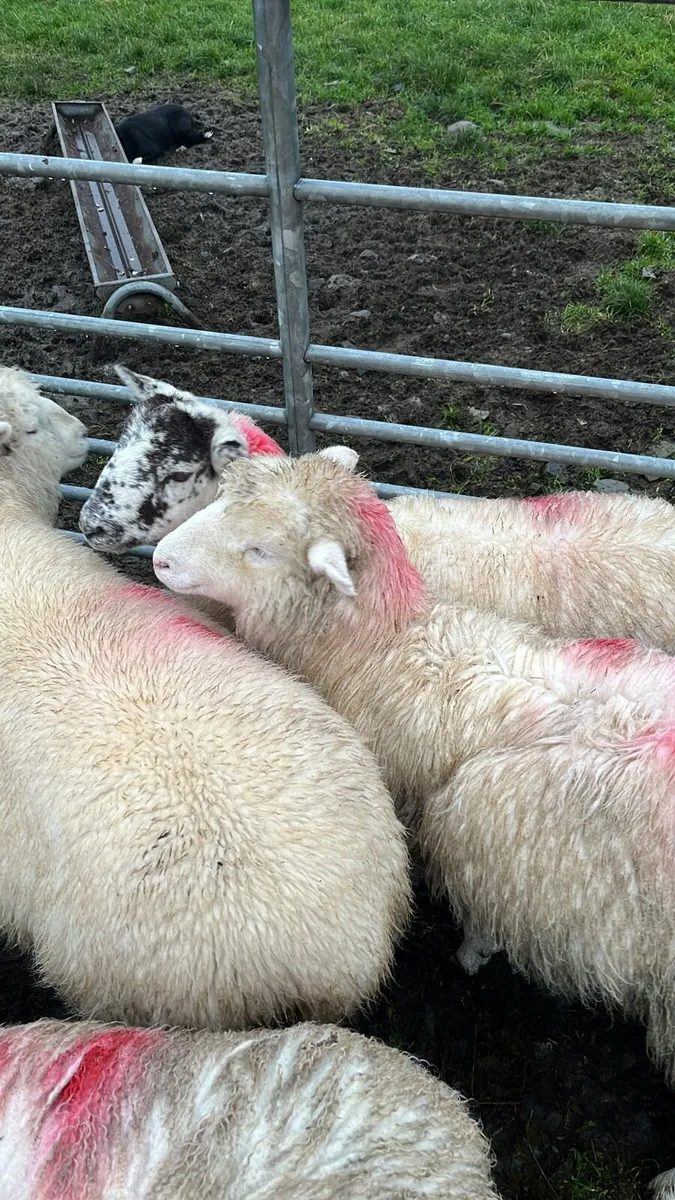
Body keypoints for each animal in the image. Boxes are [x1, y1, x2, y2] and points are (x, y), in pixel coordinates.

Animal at [153, 447, 675, 1101]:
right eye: (220, 497)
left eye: (261, 550)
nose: (159, 558)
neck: (387, 645)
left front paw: (472, 951)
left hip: (488, 816)